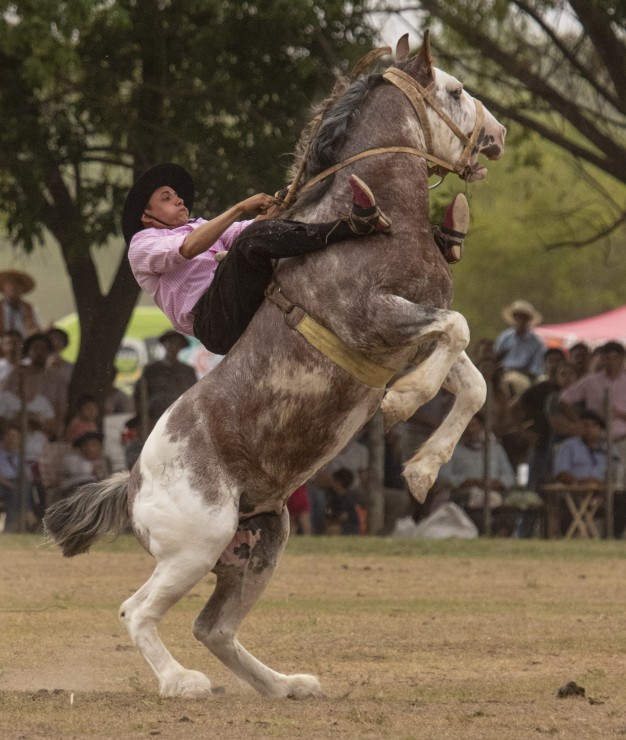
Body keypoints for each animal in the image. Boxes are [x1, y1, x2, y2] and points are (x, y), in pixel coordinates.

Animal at [44, 34, 502, 704]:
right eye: (456, 90)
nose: (498, 136)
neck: (382, 224)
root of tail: (131, 483)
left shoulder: (405, 334)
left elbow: (472, 379)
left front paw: (421, 470)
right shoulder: (373, 317)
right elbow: (459, 331)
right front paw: (403, 403)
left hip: (262, 542)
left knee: (214, 627)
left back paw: (286, 684)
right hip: (197, 545)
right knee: (139, 612)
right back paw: (182, 683)